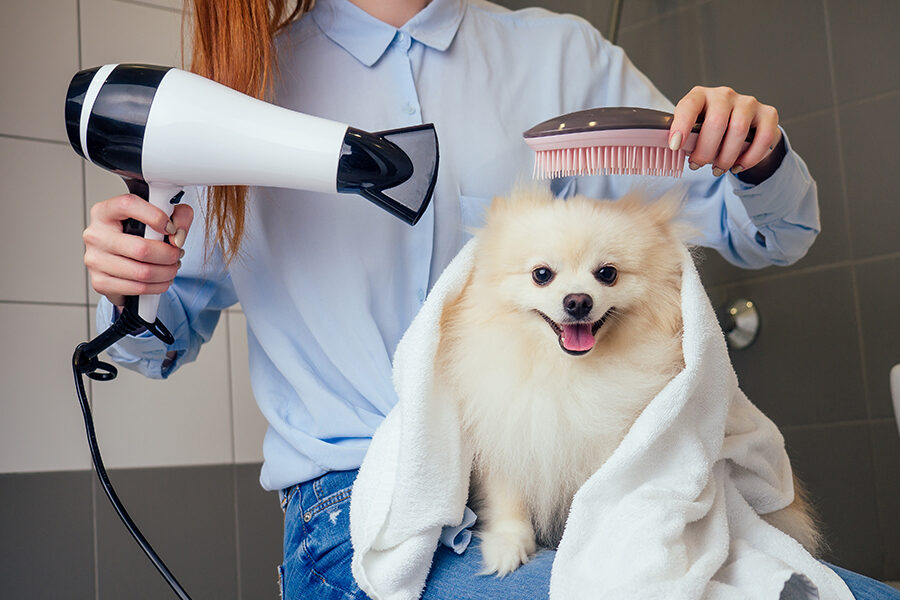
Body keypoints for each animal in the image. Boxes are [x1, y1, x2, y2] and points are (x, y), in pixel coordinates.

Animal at [436, 189, 824, 576]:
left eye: (607, 273)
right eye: (541, 274)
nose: (578, 301)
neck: (567, 372)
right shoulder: (507, 430)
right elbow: (508, 496)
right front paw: (508, 545)